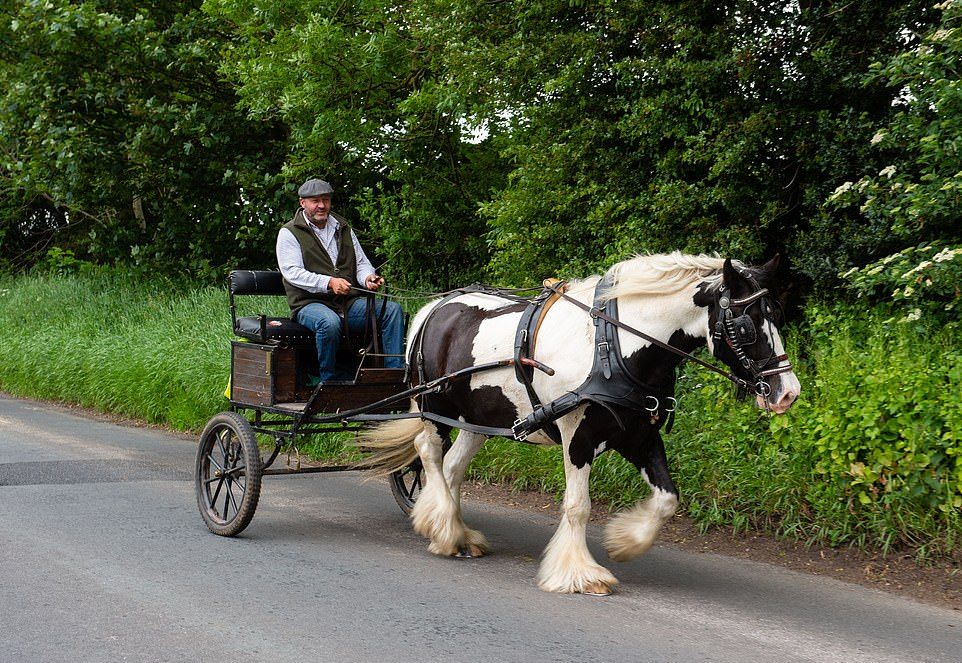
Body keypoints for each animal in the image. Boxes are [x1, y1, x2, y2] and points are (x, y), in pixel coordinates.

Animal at [358, 252, 796, 592]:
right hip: (434, 406)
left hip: (476, 420)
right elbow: (578, 506)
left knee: (451, 467)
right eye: (746, 325)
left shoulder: (639, 435)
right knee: (428, 453)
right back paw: (445, 530)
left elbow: (668, 499)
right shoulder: (577, 436)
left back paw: (454, 531)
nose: (788, 393)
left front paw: (624, 542)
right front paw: (579, 574)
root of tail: (434, 308)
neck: (614, 346)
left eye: (776, 314)